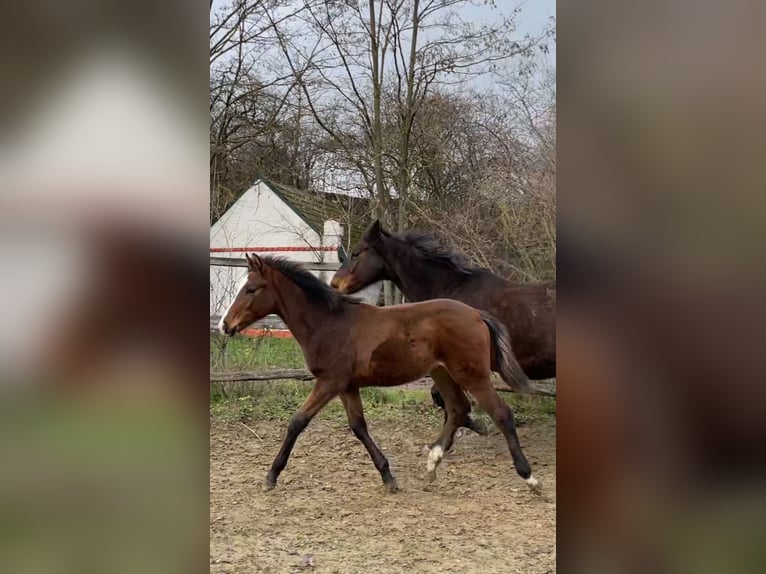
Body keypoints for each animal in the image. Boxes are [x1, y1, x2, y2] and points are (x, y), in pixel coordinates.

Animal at [218, 256, 540, 496]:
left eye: (251, 289)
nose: (224, 325)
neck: (328, 323)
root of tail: (476, 314)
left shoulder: (329, 382)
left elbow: (297, 421)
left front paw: (271, 475)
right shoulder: (347, 386)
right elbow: (358, 427)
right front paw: (388, 476)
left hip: (472, 374)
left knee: (501, 413)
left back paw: (530, 478)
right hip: (442, 372)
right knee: (459, 408)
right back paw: (432, 465)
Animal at [332, 220, 560, 432]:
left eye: (356, 253)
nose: (335, 284)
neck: (451, 289)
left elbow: (442, 397)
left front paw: (474, 424)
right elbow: (441, 398)